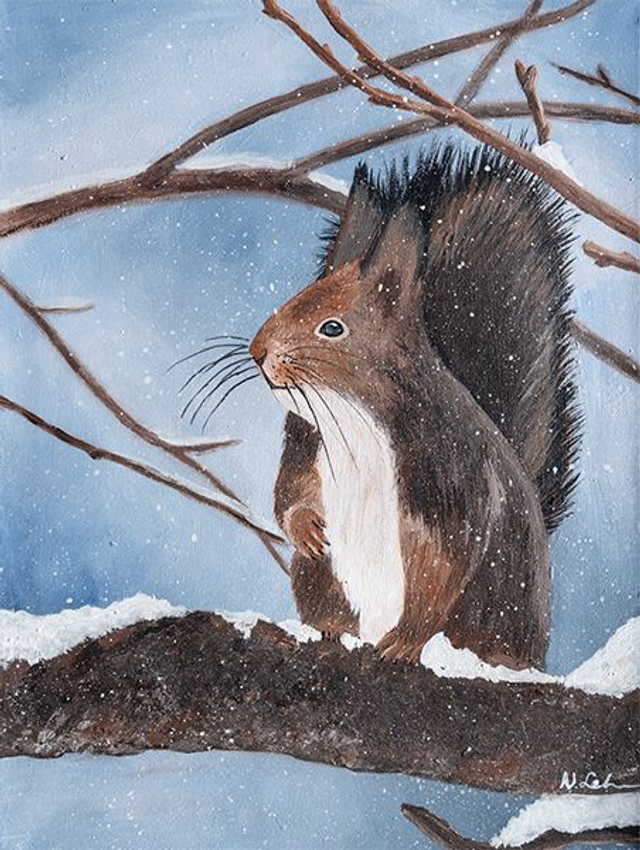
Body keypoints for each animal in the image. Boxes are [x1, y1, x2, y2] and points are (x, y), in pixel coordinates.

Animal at [249, 143, 580, 669]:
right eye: (298, 295)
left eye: (332, 327)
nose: (258, 350)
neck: (353, 411)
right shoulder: (305, 438)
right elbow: (288, 496)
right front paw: (306, 528)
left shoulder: (447, 476)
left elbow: (444, 563)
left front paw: (405, 643)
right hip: (320, 579)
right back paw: (328, 632)